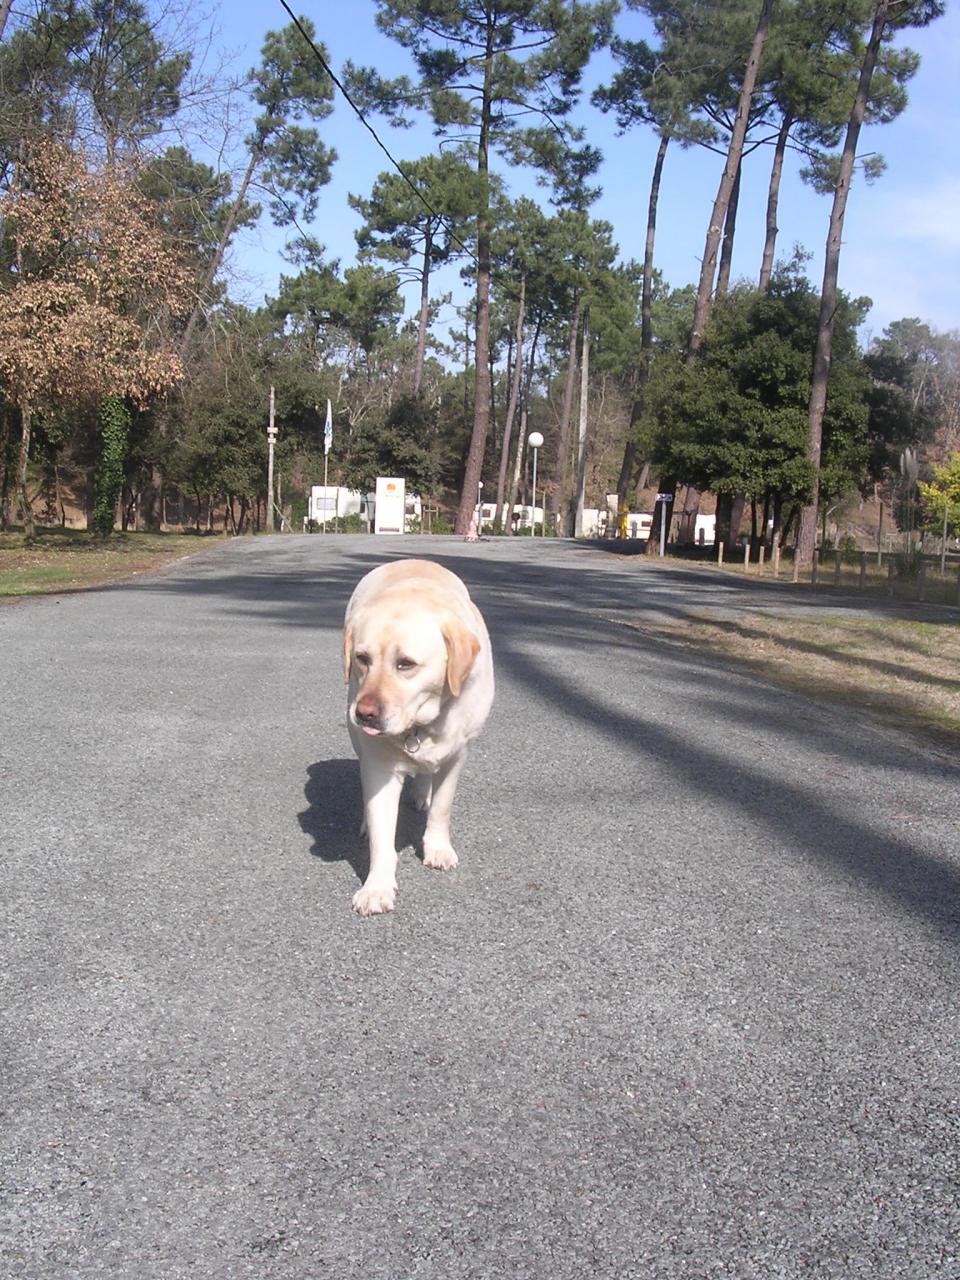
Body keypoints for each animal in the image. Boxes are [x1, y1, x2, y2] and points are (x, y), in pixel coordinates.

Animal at [345, 558, 496, 911]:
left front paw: (437, 848)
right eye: (362, 658)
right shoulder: (379, 766)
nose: (364, 714)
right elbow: (381, 830)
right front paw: (377, 886)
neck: (418, 725)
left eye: (405, 664)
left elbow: (442, 807)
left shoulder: (456, 756)